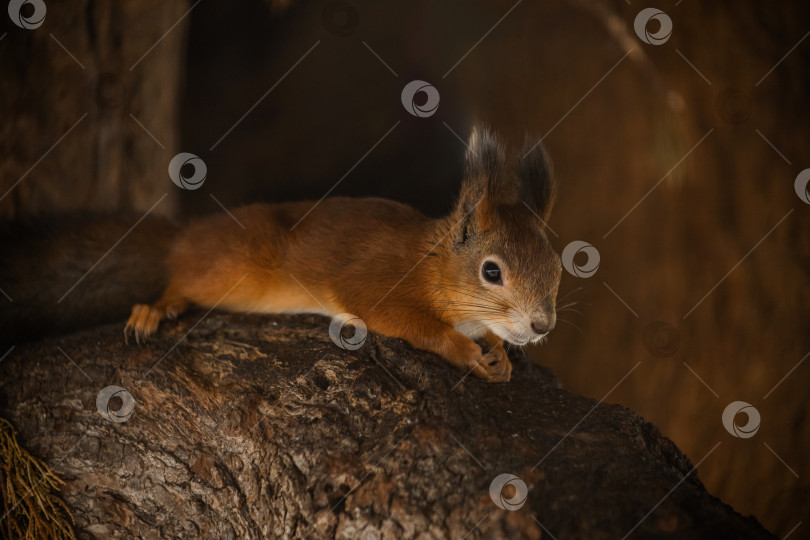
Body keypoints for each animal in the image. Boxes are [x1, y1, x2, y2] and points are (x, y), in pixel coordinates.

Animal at [124, 126, 560, 382]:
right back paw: (152, 310)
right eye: (491, 272)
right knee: (179, 282)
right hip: (227, 274)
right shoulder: (374, 280)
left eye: (557, 268)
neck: (431, 264)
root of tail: (186, 234)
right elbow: (401, 319)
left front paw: (499, 349)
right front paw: (464, 350)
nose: (542, 326)